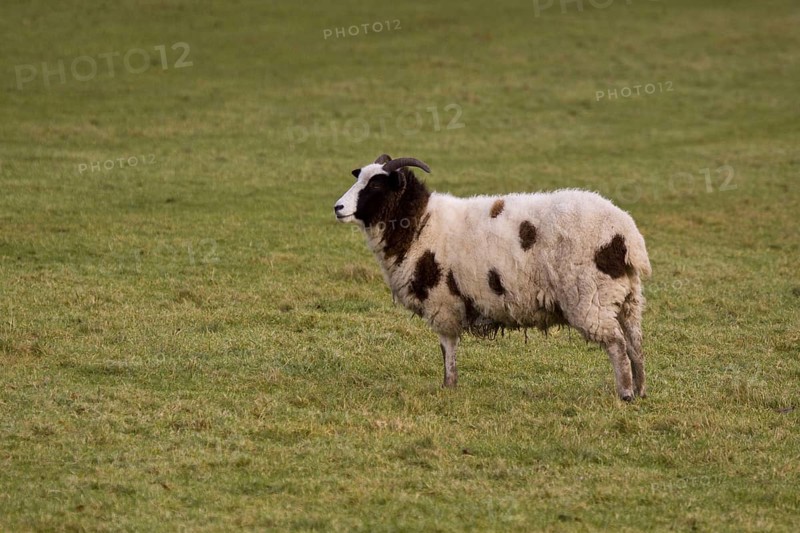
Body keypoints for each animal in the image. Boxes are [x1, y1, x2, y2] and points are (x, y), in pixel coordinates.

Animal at [333, 154, 652, 401]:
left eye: (376, 184)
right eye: (359, 178)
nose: (338, 208)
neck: (420, 223)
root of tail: (627, 234)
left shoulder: (442, 302)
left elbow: (447, 347)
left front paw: (449, 386)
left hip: (591, 296)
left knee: (617, 344)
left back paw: (625, 394)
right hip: (627, 297)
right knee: (635, 344)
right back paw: (640, 391)